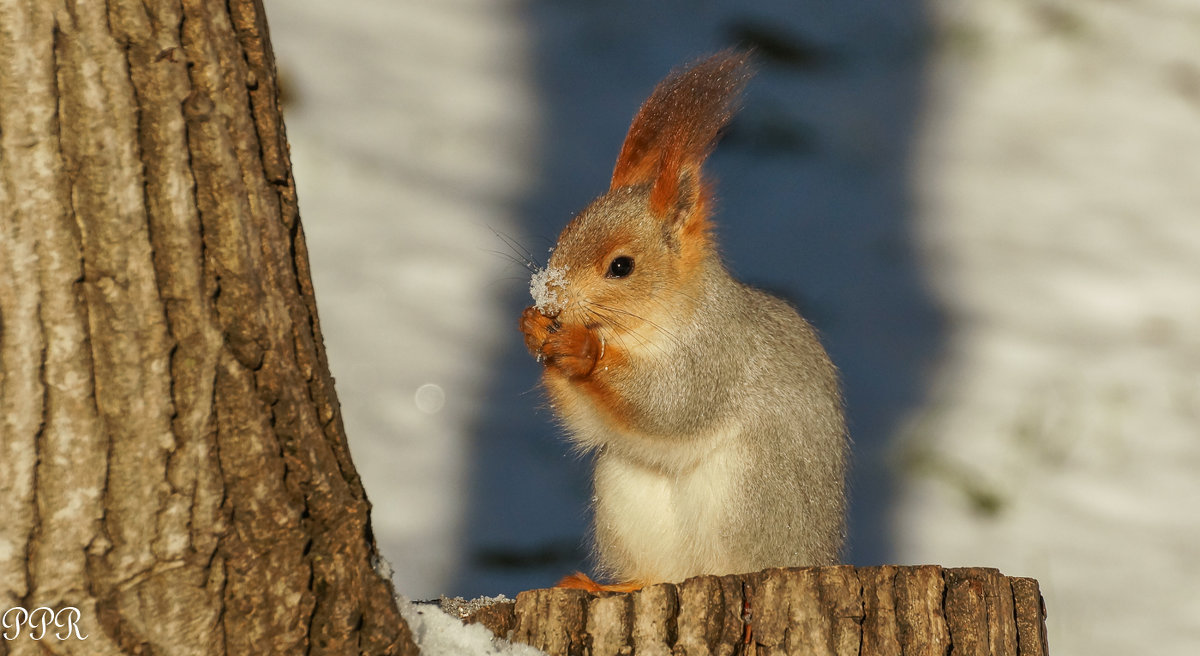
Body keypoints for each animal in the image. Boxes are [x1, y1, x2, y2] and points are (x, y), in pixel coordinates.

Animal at [520, 51, 849, 592]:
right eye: (566, 233)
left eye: (621, 266)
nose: (548, 297)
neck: (645, 328)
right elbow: (591, 424)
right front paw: (533, 328)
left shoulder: (719, 353)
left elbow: (671, 404)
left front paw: (584, 351)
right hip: (626, 498)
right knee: (657, 573)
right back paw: (607, 586)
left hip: (744, 498)